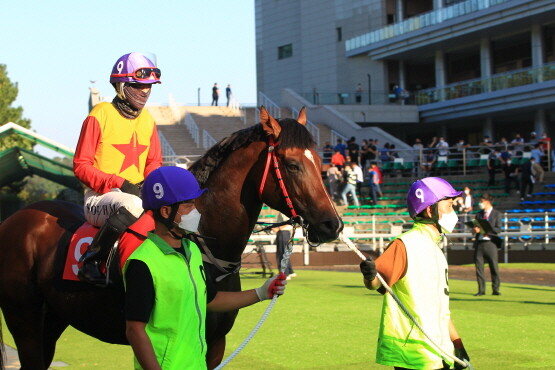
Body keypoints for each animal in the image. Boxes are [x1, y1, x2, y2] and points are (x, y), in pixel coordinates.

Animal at [0, 105, 344, 368]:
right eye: (292, 164)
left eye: (319, 160)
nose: (333, 225)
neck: (203, 241)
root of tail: (16, 217)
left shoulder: (214, 343)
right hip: (25, 322)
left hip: (52, 321)